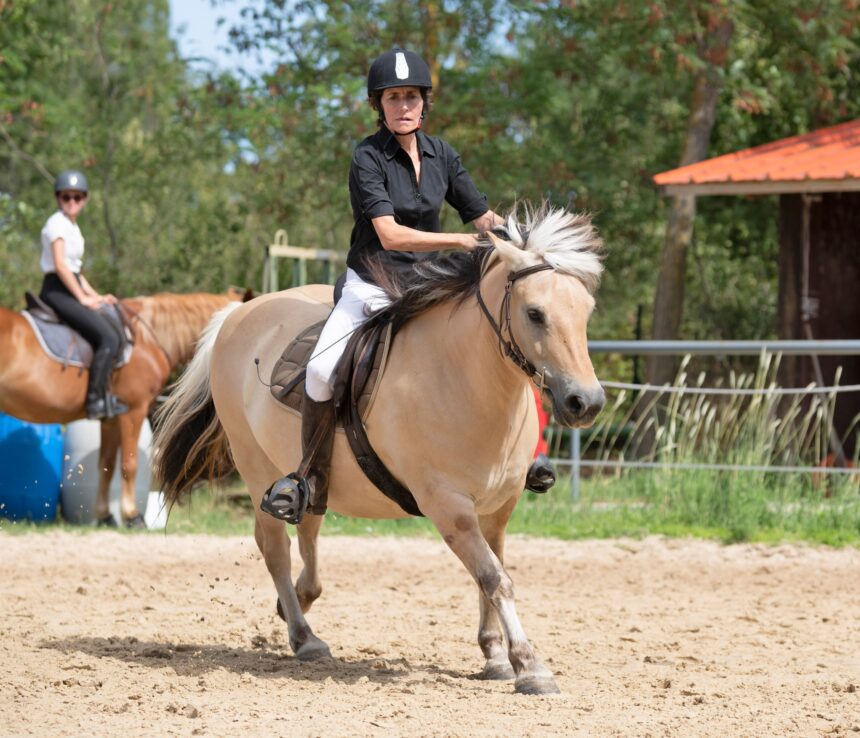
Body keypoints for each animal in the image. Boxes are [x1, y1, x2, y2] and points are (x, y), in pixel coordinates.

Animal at [0, 286, 249, 524]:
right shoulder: (134, 410)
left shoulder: (110, 418)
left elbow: (106, 465)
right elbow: (129, 464)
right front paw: (132, 516)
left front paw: (105, 516)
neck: (148, 339)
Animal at [149, 204, 604, 692]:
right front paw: (529, 665)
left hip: (312, 471)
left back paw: (300, 602)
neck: (465, 378)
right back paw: (304, 637)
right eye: (535, 313)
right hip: (254, 467)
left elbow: (491, 574)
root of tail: (238, 313)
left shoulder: (498, 508)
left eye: (586, 311)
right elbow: (494, 578)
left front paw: (495, 655)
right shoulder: (449, 506)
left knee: (308, 525)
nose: (587, 402)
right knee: (274, 548)